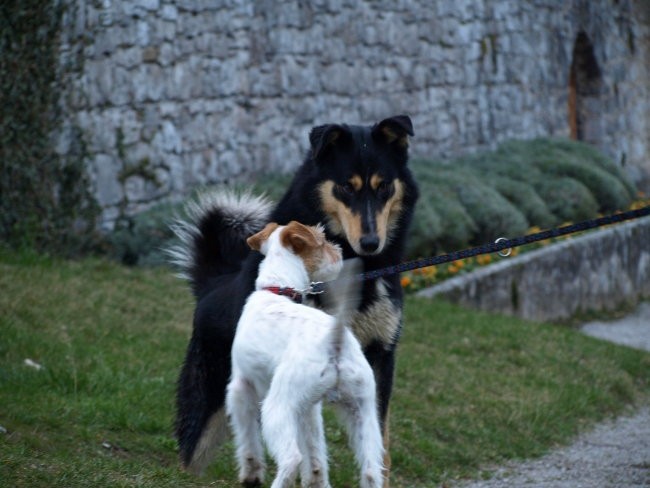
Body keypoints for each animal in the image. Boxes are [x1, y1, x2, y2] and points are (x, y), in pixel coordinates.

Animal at [170, 115, 418, 484]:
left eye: (384, 185)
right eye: (346, 187)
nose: (371, 243)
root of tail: (212, 285)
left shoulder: (381, 359)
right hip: (210, 401)